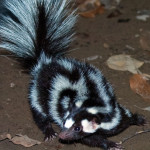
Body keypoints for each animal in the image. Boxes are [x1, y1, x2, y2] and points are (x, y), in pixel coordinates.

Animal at [0, 0, 146, 150]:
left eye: (77, 128)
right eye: (65, 123)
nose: (62, 135)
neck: (94, 103)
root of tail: (45, 61)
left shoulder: (115, 112)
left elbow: (125, 117)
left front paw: (139, 119)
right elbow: (92, 139)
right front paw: (111, 144)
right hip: (37, 94)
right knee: (39, 114)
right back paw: (49, 132)